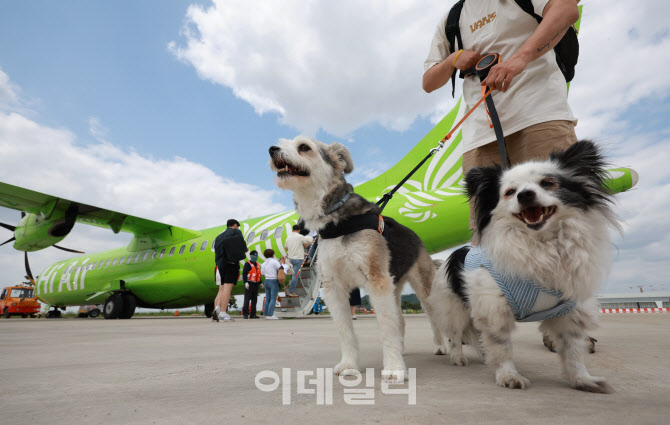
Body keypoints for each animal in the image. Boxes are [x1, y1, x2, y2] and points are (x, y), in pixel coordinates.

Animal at [430, 141, 620, 392]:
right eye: (509, 192)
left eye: (548, 183)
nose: (525, 194)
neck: (541, 246)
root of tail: (451, 257)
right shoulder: (494, 309)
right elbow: (502, 347)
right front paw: (508, 376)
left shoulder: (569, 311)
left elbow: (573, 351)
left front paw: (581, 379)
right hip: (456, 311)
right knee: (455, 336)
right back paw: (458, 357)